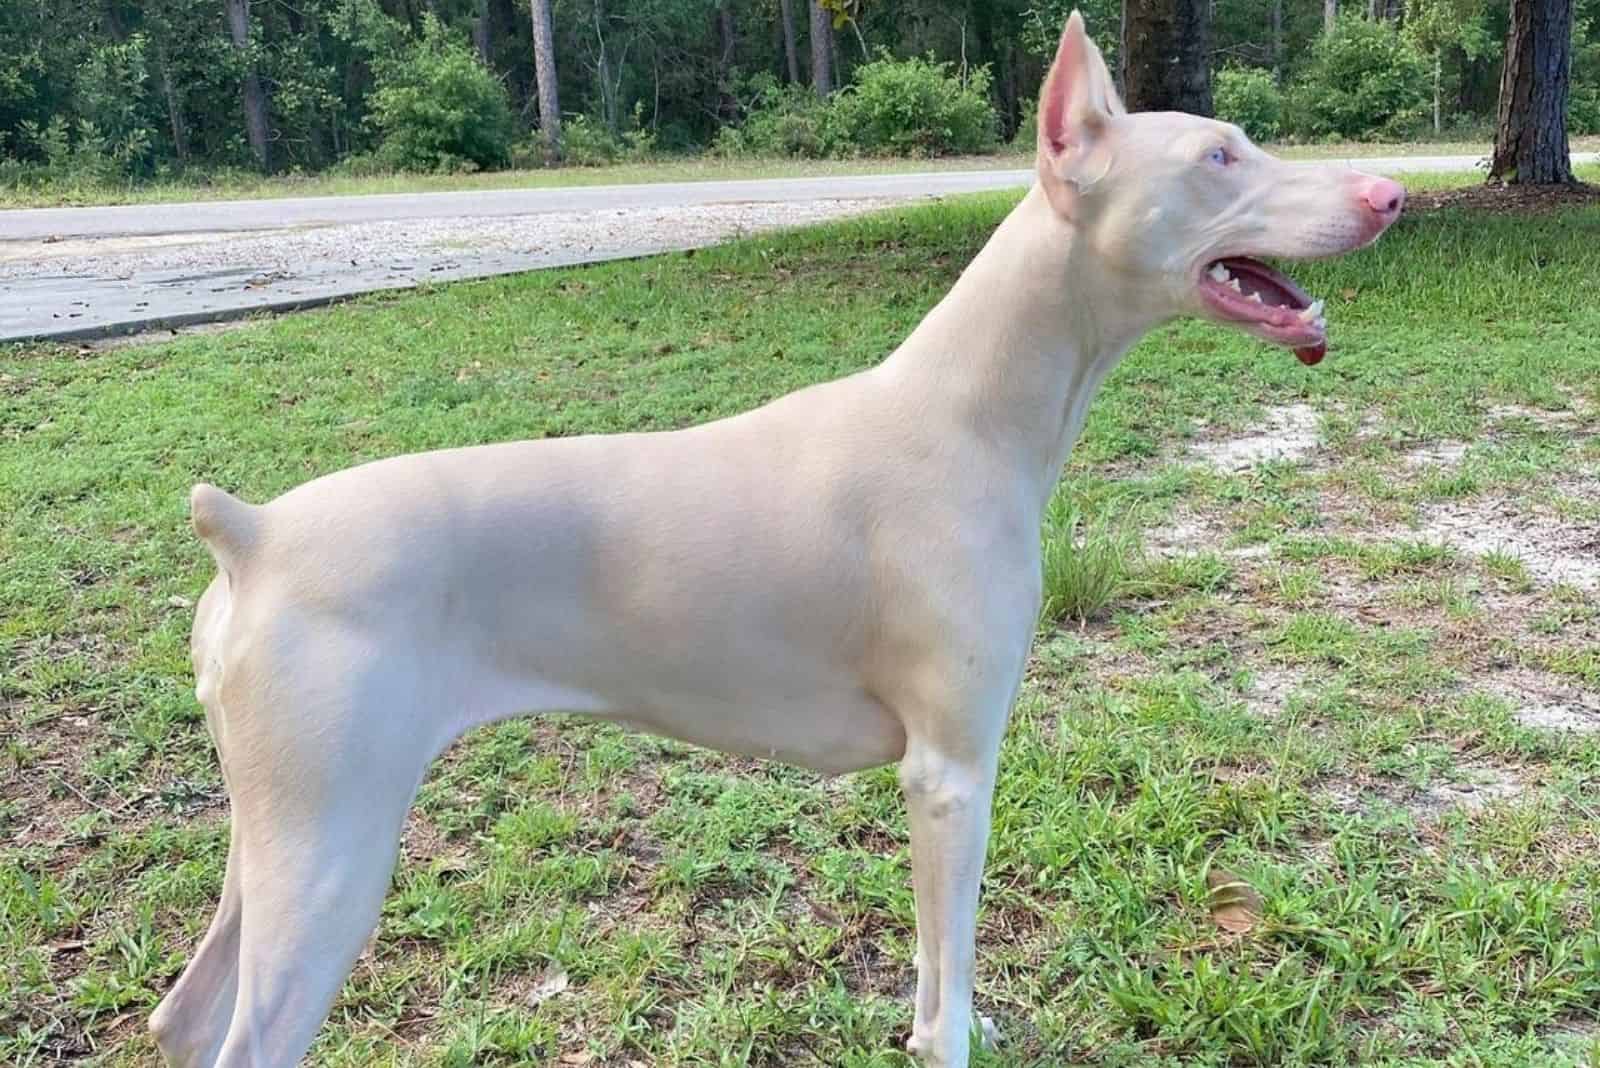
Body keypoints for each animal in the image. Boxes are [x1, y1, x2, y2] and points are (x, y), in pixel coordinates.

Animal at [150, 12, 1401, 1061]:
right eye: (1218, 157)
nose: (1391, 195)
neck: (968, 411)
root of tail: (252, 535)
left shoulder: (929, 782)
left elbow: (936, 974)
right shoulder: (953, 772)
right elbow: (948, 988)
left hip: (274, 829)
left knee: (184, 1014)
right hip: (333, 848)